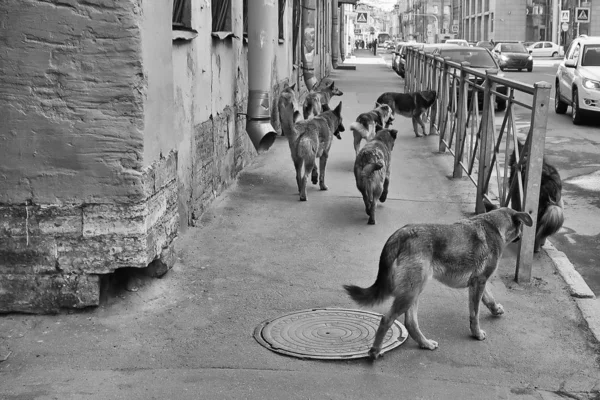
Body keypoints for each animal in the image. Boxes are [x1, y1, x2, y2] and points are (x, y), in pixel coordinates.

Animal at [344, 208, 532, 360]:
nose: (523, 237)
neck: (493, 225)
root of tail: (404, 232)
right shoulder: (479, 281)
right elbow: (475, 314)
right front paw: (477, 333)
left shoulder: (478, 282)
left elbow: (489, 299)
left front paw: (495, 309)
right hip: (411, 291)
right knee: (386, 319)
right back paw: (375, 351)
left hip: (414, 290)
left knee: (410, 322)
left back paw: (425, 343)